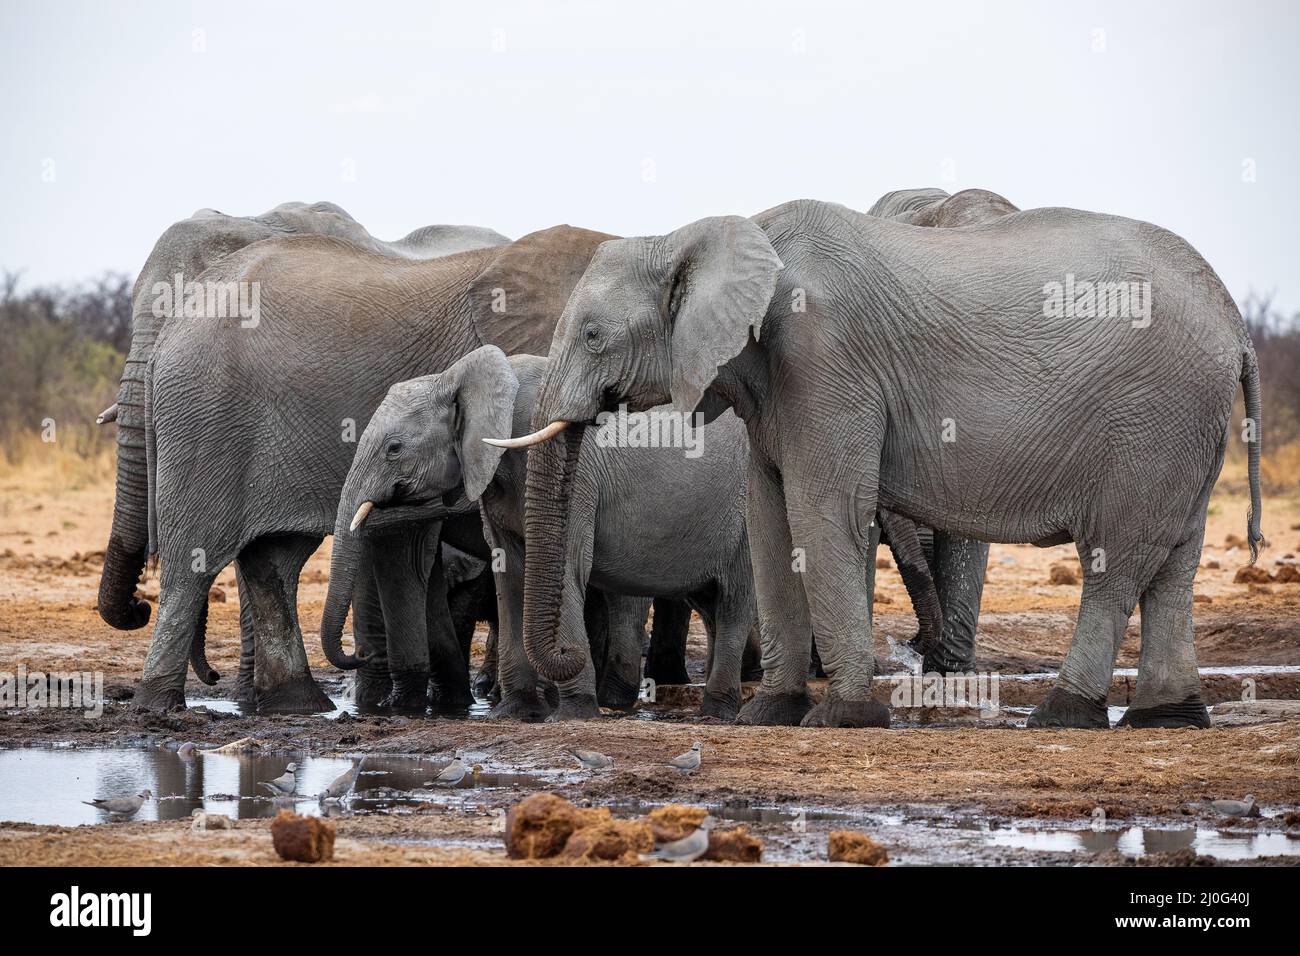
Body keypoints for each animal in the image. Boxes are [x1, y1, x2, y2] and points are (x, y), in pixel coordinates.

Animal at [125, 222, 616, 713]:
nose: (357, 654)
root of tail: (171, 332)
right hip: (206, 419)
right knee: (194, 563)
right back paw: (159, 706)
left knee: (274, 560)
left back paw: (299, 703)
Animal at [332, 345, 763, 721]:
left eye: (394, 448)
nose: (360, 655)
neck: (458, 377)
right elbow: (508, 571)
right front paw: (513, 712)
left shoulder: (577, 474)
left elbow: (565, 567)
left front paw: (573, 713)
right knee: (711, 606)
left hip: (745, 518)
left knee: (733, 602)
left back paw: (715, 712)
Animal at [504, 199, 1263, 731]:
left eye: (593, 335)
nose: (572, 668)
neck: (702, 233)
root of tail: (1235, 321)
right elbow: (771, 524)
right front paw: (769, 714)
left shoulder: (824, 357)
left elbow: (822, 514)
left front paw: (842, 717)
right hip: (1186, 426)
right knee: (1174, 564)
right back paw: (1167, 717)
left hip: (1152, 418)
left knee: (1117, 561)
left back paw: (1065, 714)